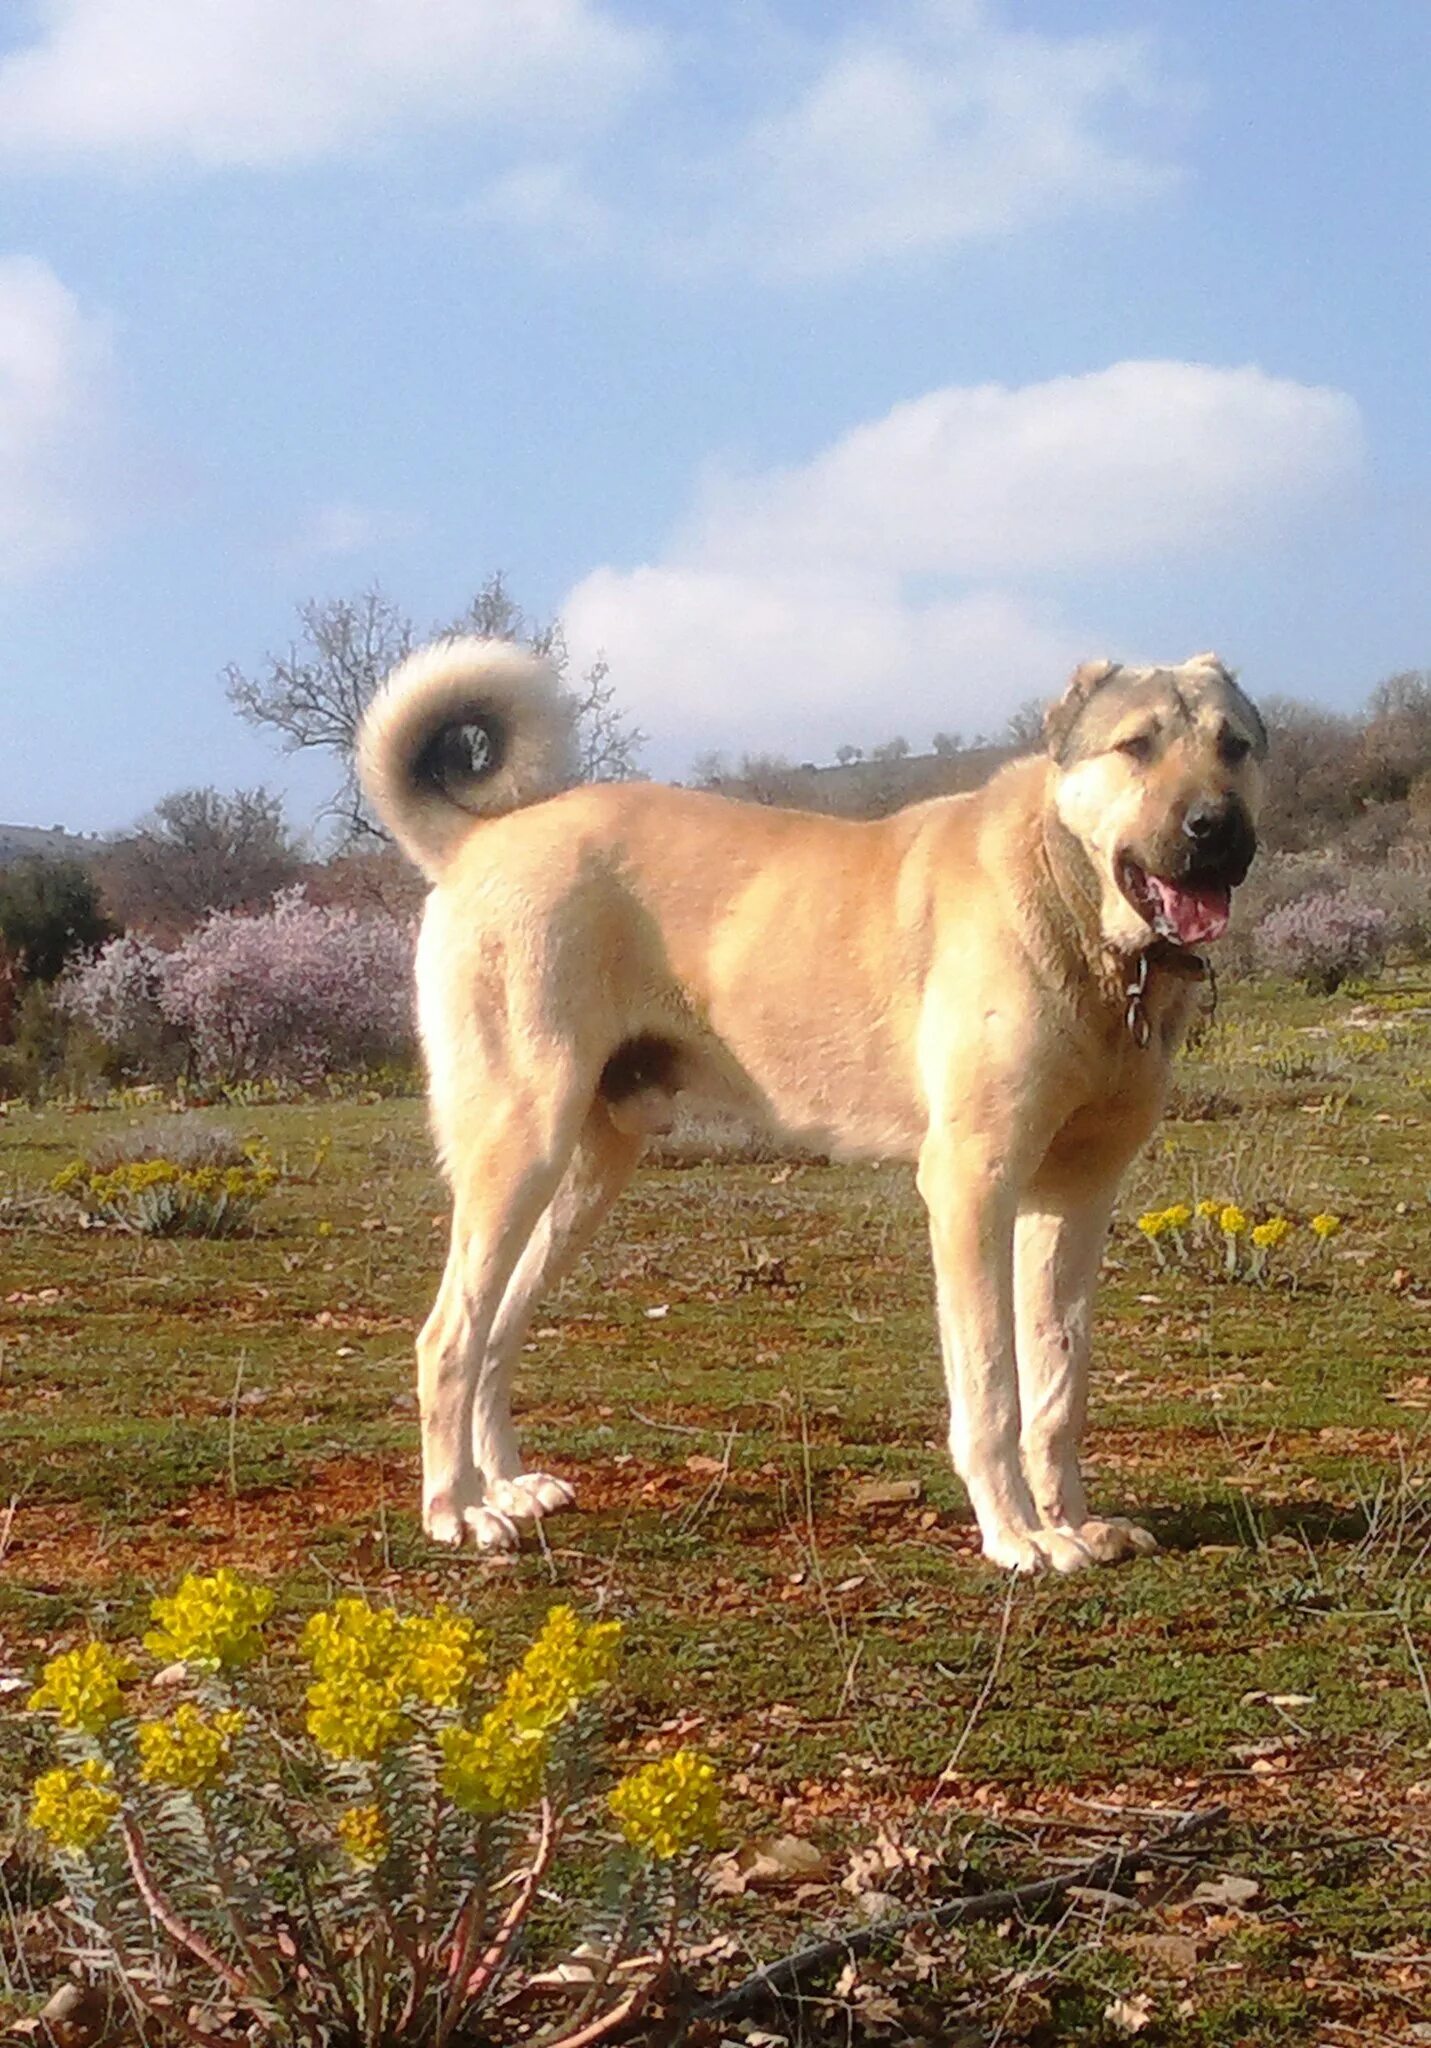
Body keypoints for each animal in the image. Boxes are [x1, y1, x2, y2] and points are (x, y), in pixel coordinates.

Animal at [358, 647, 1261, 1572]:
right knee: (448, 1337)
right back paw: (457, 1510)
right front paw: (1015, 1534)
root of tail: (479, 838)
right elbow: (992, 1389)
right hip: (520, 1146)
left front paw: (1071, 1522)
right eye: (1136, 745)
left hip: (585, 1173)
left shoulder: (1074, 1197)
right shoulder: (972, 1184)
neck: (1083, 916)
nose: (1215, 828)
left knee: (497, 1332)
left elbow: (1057, 1389)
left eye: (1234, 745)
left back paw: (504, 1484)